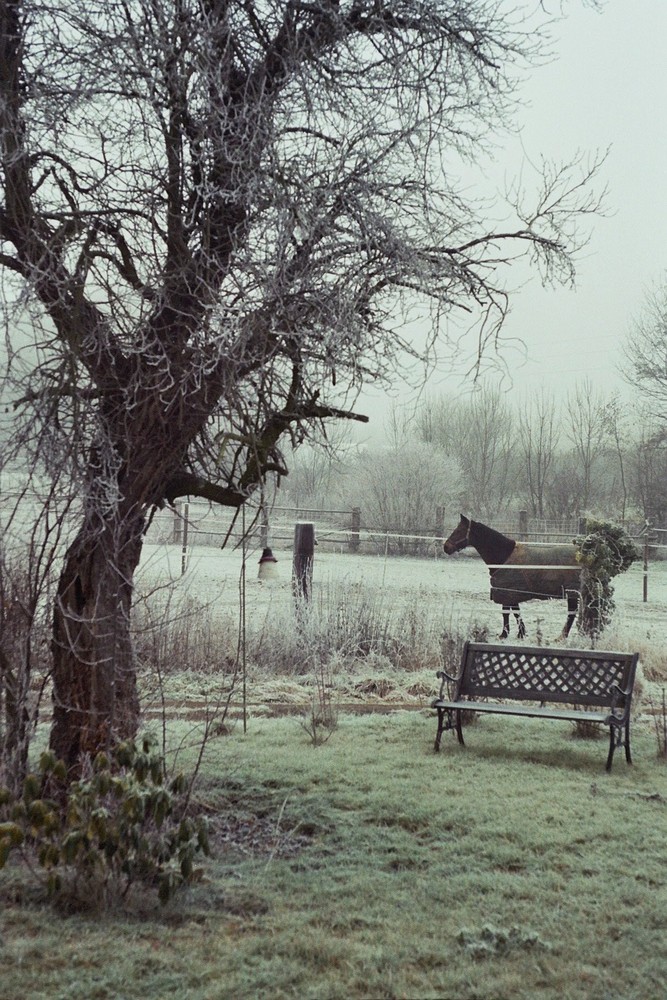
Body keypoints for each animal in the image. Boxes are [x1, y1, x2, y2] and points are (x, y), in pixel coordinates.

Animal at [446, 516, 580, 640]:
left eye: (459, 530)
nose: (445, 547)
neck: (504, 556)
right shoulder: (510, 593)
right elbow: (515, 612)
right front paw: (520, 633)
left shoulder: (508, 592)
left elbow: (508, 612)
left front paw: (505, 634)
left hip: (572, 594)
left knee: (571, 614)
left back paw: (561, 637)